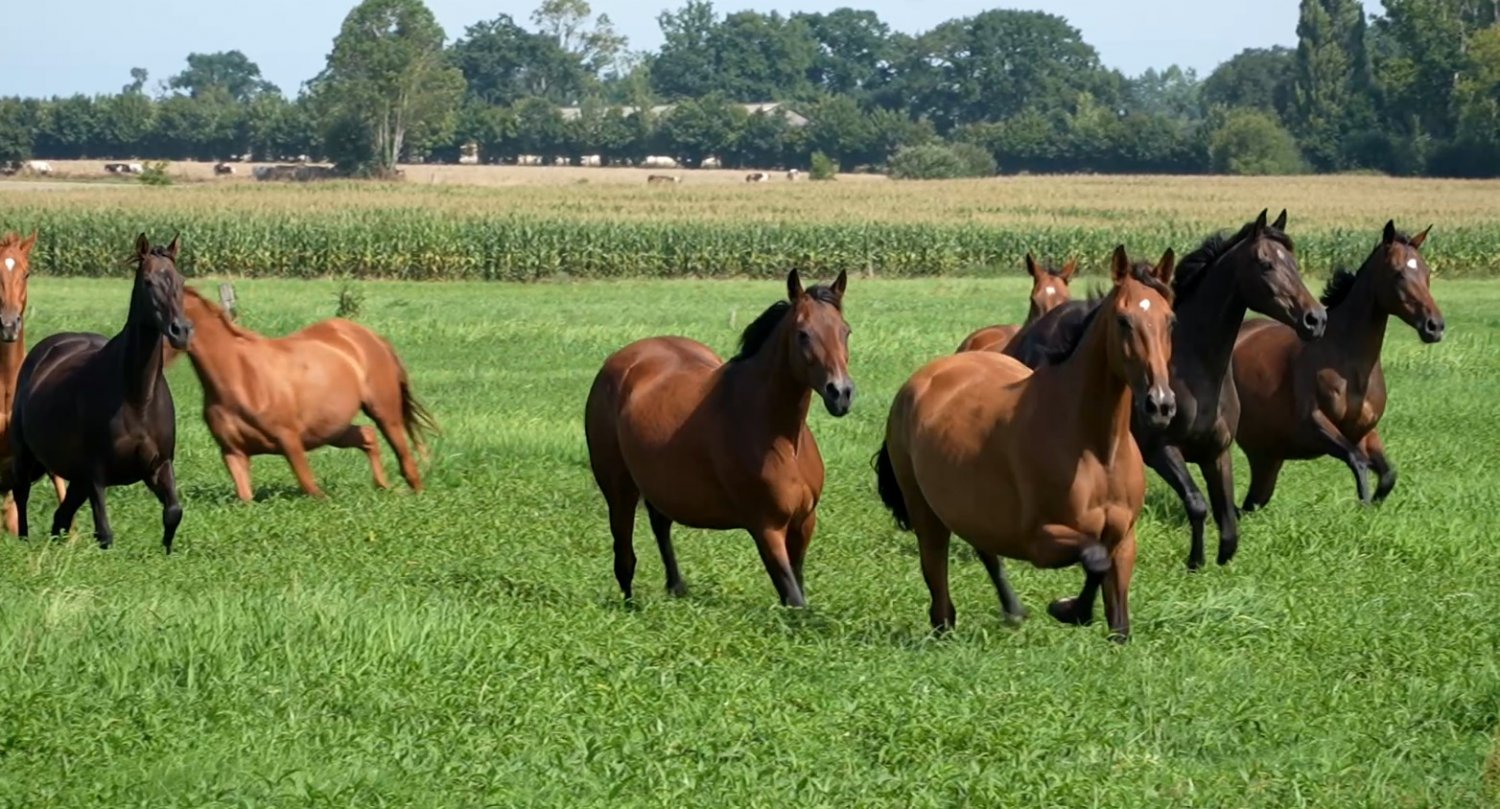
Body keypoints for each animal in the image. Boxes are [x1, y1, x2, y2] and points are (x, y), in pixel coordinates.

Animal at [6, 233, 192, 551]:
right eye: (148, 281)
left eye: (180, 279)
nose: (180, 330)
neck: (137, 398)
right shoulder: (96, 474)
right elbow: (105, 533)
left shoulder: (159, 466)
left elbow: (173, 513)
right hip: (27, 455)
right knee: (21, 493)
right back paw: (24, 541)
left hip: (76, 479)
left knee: (61, 517)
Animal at [166, 286, 435, 501]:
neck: (240, 377)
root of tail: (372, 337)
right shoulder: (233, 453)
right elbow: (246, 499)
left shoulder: (290, 440)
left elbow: (311, 489)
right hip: (331, 429)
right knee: (367, 436)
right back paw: (383, 487)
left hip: (384, 413)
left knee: (403, 454)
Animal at [585, 270, 854, 607]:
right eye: (803, 334)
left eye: (846, 331)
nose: (840, 393)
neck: (781, 438)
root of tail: (622, 360)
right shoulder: (766, 528)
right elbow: (794, 598)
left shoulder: (804, 522)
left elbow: (798, 587)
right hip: (618, 487)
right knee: (624, 551)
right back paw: (630, 602)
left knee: (660, 524)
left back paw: (676, 587)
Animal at [875, 246, 1176, 642]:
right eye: (1124, 320)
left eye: (1170, 320)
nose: (1160, 404)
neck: (1096, 449)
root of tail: (919, 380)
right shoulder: (1041, 540)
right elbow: (1095, 557)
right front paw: (1068, 609)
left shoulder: (1124, 540)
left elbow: (1118, 617)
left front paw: (1077, 613)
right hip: (924, 508)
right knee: (935, 564)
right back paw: (945, 625)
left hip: (971, 505)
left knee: (983, 547)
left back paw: (1013, 610)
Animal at [1233, 221, 1444, 511]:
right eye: (1398, 273)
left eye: (1426, 272)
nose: (1435, 326)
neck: (1350, 365)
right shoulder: (1316, 424)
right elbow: (1358, 462)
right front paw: (1363, 509)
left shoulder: (1365, 431)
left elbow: (1387, 474)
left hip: (1266, 456)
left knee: (1253, 501)